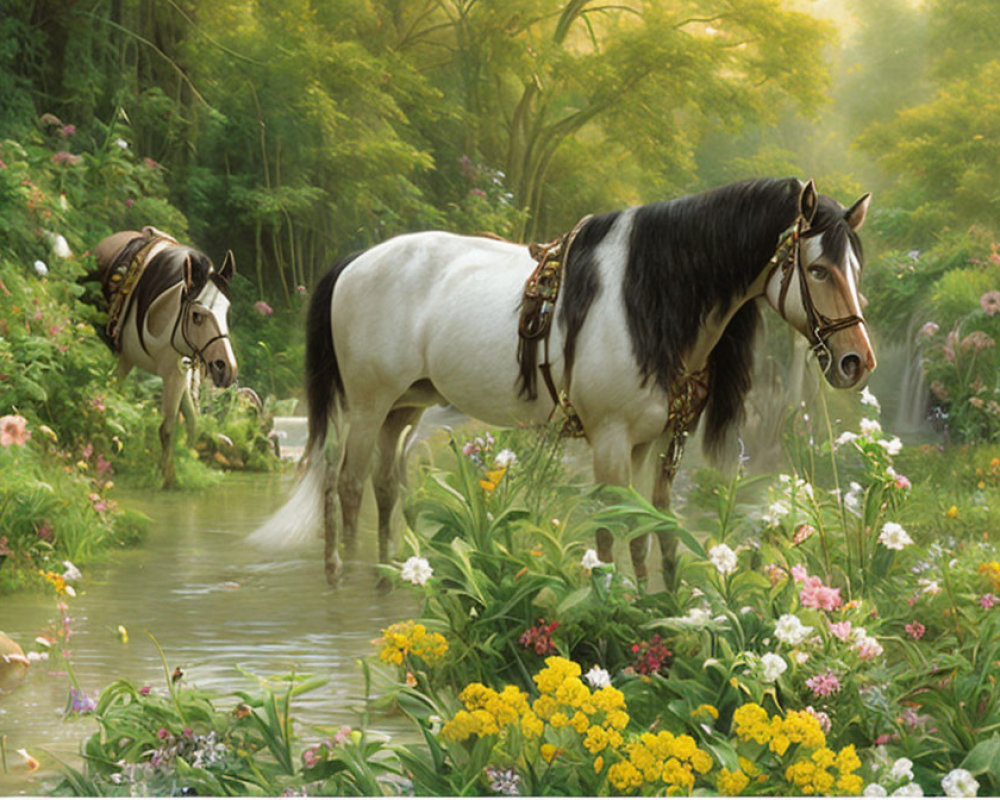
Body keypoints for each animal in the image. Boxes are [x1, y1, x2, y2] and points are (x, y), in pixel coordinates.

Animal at [90, 225, 238, 488]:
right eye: (197, 315)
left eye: (226, 311)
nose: (226, 369)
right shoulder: (151, 367)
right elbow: (155, 421)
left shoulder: (178, 372)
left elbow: (180, 425)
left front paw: (175, 469)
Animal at [252, 178, 876, 584]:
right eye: (817, 269)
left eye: (854, 267)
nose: (857, 362)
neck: (646, 299)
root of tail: (355, 262)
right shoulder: (610, 439)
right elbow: (609, 531)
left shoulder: (655, 442)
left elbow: (650, 531)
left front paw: (657, 609)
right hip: (366, 404)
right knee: (348, 486)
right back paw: (344, 579)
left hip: (403, 408)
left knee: (384, 486)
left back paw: (387, 576)